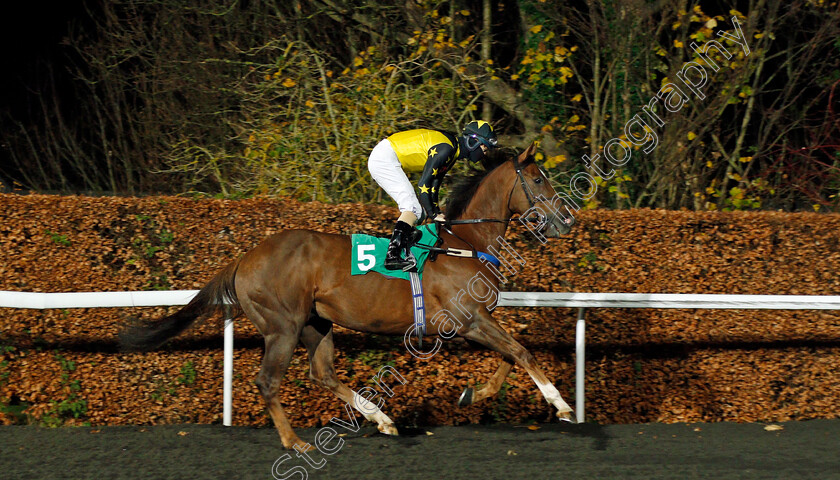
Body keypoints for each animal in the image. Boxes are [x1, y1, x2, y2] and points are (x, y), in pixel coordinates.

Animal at [120, 142, 576, 450]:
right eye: (538, 179)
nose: (567, 219)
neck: (464, 242)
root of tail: (245, 258)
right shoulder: (469, 319)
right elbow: (521, 352)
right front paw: (562, 405)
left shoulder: (477, 320)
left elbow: (509, 359)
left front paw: (472, 394)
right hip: (282, 327)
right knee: (268, 381)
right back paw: (295, 442)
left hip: (315, 322)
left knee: (322, 373)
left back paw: (382, 419)